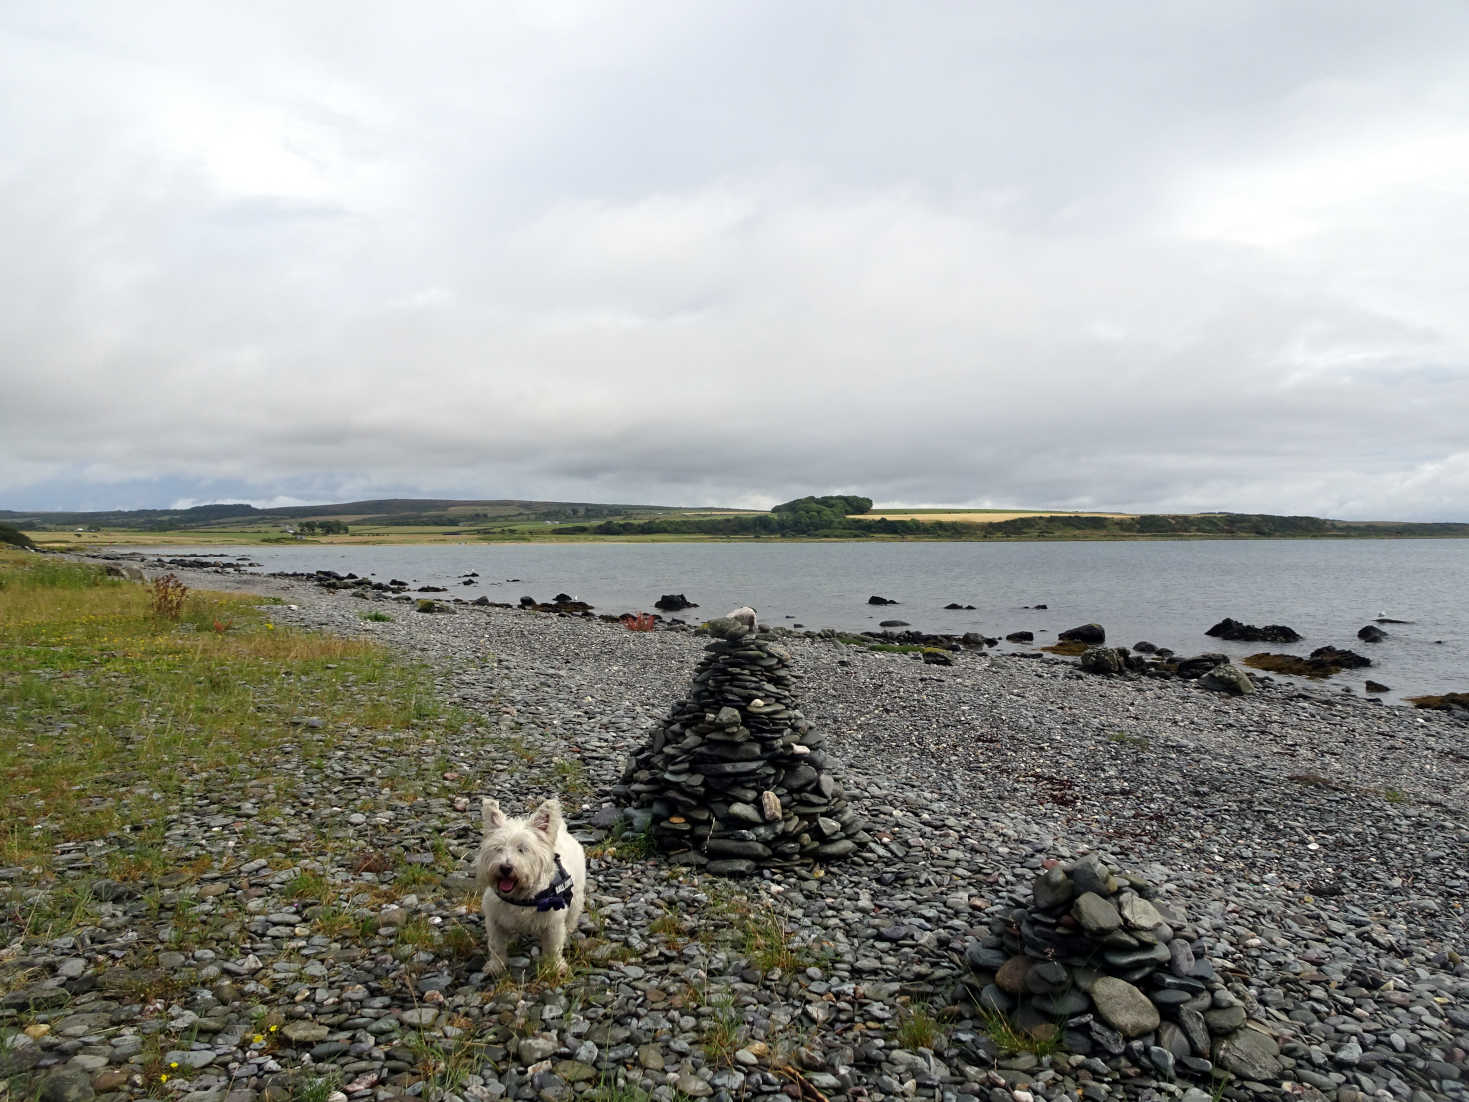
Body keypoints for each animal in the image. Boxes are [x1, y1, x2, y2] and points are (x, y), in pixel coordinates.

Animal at [470, 799, 584, 981]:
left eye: (522, 849)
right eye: (498, 848)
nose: (505, 868)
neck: (521, 897)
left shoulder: (553, 923)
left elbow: (553, 947)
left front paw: (556, 967)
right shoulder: (495, 920)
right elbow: (496, 945)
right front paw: (496, 966)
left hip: (576, 897)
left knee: (572, 916)